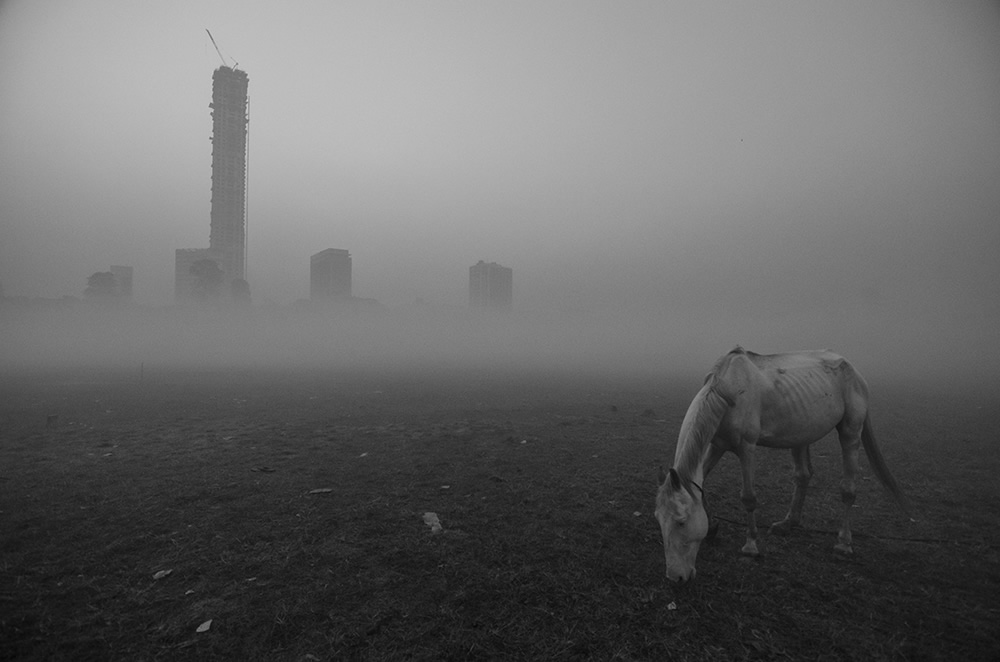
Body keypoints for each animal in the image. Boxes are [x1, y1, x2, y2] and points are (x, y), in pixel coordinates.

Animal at [652, 348, 912, 588]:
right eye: (659, 520)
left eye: (681, 521)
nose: (676, 577)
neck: (728, 391)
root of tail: (854, 371)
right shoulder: (717, 446)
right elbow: (702, 480)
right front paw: (713, 526)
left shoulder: (746, 448)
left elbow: (748, 497)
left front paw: (751, 545)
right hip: (801, 434)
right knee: (803, 476)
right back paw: (788, 524)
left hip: (851, 431)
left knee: (848, 489)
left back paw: (843, 543)